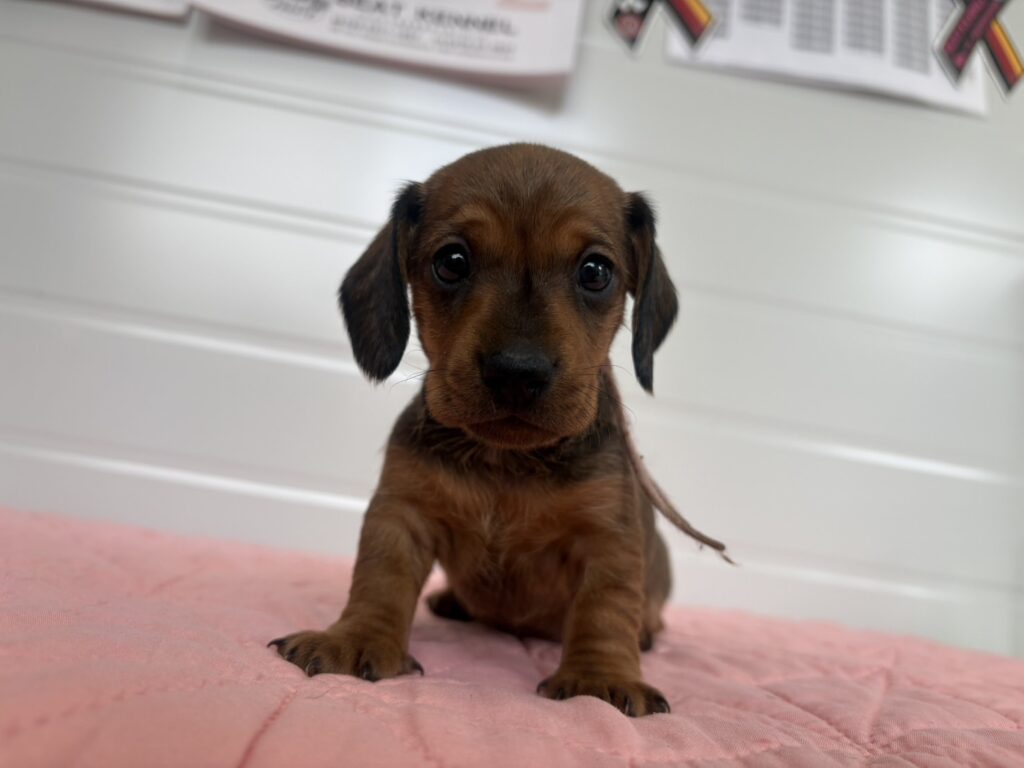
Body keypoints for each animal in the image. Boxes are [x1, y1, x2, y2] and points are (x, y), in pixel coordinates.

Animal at [270, 144, 729, 717]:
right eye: (452, 262)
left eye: (595, 271)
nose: (517, 372)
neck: (506, 462)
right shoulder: (401, 513)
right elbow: (379, 579)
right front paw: (355, 639)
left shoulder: (608, 539)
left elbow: (605, 608)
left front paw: (600, 675)